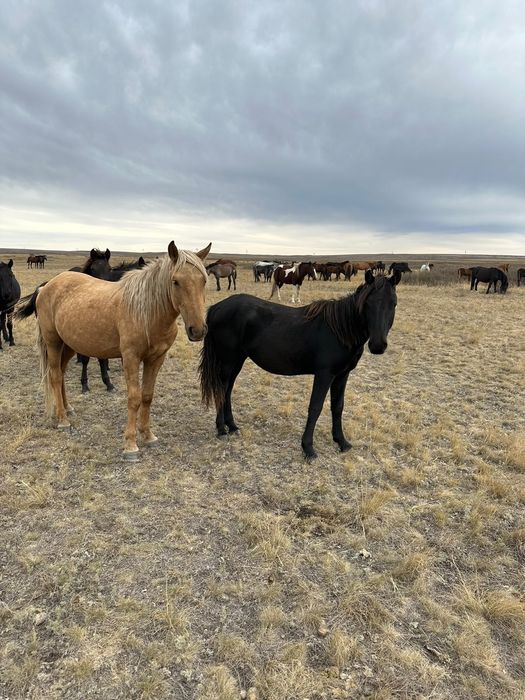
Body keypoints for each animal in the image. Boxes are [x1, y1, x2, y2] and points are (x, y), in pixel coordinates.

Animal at [199, 269, 401, 460]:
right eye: (367, 303)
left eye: (394, 303)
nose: (378, 345)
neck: (340, 330)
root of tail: (216, 308)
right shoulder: (324, 374)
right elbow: (315, 407)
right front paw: (308, 448)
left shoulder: (342, 375)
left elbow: (338, 407)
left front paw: (342, 442)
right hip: (228, 361)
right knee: (222, 389)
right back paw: (221, 429)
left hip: (237, 361)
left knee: (227, 390)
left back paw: (232, 426)